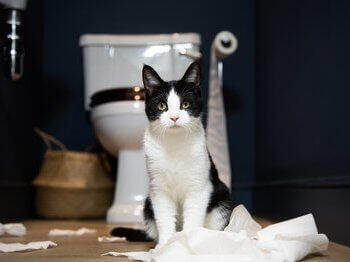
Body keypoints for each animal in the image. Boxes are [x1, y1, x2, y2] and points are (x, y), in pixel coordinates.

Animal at [112, 62, 232, 247]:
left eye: (185, 104)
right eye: (162, 106)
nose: (174, 117)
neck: (174, 145)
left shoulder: (199, 187)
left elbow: (194, 215)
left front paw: (187, 242)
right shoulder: (158, 189)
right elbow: (164, 217)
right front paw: (165, 246)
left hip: (222, 198)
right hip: (147, 204)